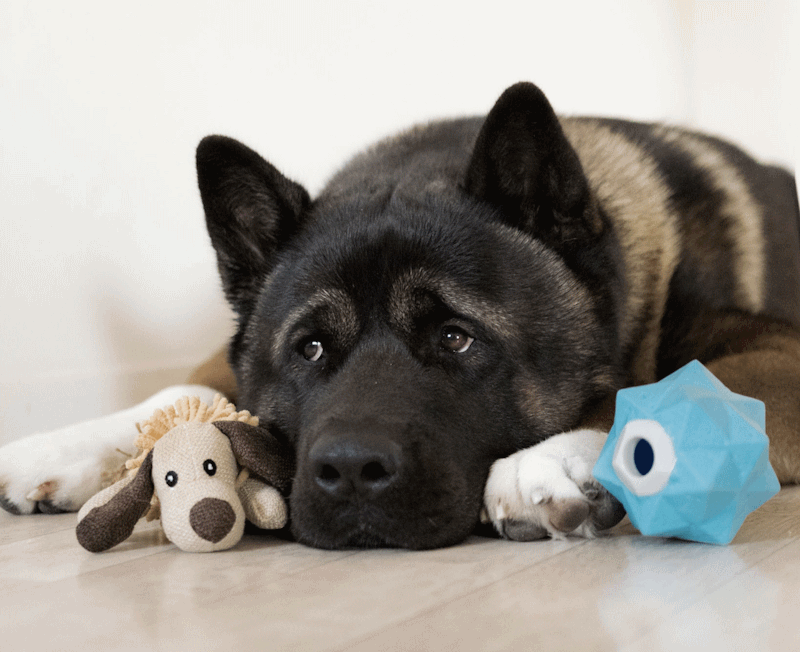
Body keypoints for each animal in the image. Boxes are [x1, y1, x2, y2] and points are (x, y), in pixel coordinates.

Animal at [1, 81, 800, 552]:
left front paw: (557, 459)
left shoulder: (781, 357)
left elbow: (666, 389)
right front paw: (53, 451)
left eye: (455, 338)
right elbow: (185, 390)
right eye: (310, 350)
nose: (351, 473)